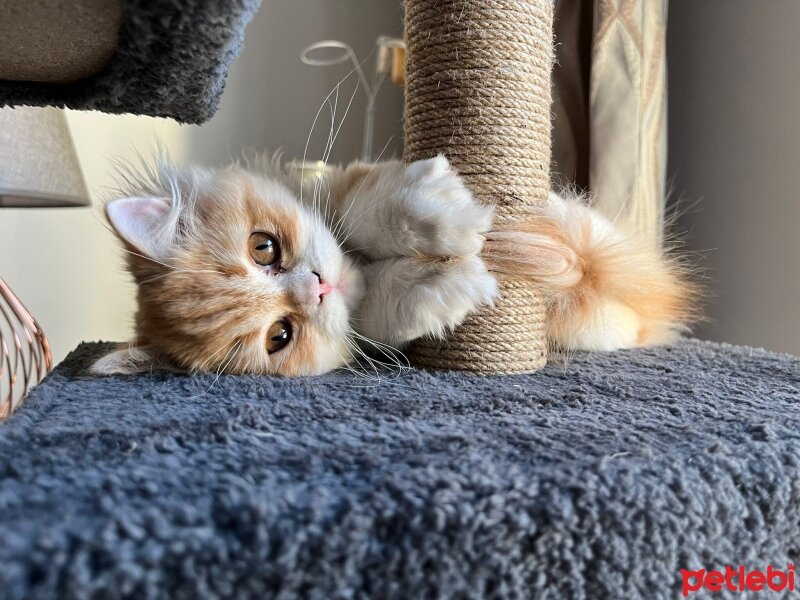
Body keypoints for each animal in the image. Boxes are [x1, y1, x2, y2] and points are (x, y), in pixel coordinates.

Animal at [92, 157, 692, 378]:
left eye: (263, 248)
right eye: (280, 336)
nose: (317, 287)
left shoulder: (338, 185)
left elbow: (364, 205)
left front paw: (445, 217)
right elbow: (392, 307)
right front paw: (446, 279)